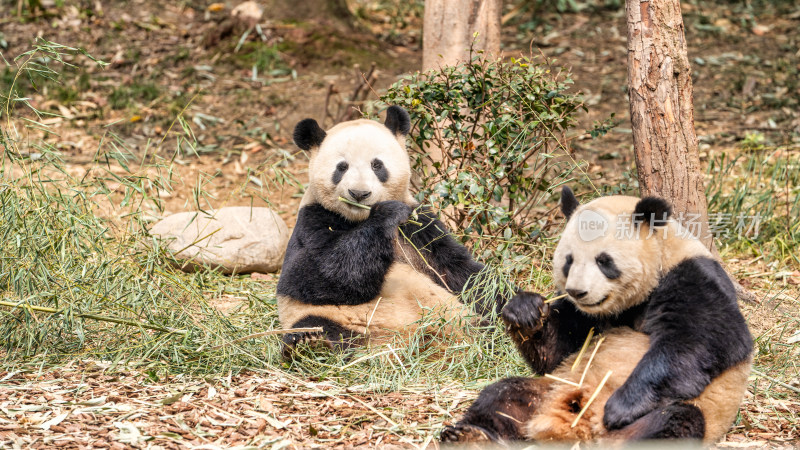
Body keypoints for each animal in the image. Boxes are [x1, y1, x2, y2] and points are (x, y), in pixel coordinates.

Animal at [276, 105, 500, 356]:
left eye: (377, 165)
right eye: (341, 167)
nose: (359, 194)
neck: (359, 219)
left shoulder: (419, 228)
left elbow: (458, 271)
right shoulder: (313, 220)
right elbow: (312, 275)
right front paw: (387, 214)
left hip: (459, 317)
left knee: (481, 324)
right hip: (332, 319)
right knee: (318, 327)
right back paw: (311, 345)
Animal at [440, 188, 752, 444]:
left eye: (604, 261)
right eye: (568, 261)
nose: (577, 292)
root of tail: (579, 431)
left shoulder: (693, 277)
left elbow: (701, 342)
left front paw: (621, 406)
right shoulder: (586, 319)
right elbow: (559, 350)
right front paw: (525, 311)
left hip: (673, 416)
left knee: (676, 422)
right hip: (548, 390)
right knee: (503, 396)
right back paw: (471, 436)